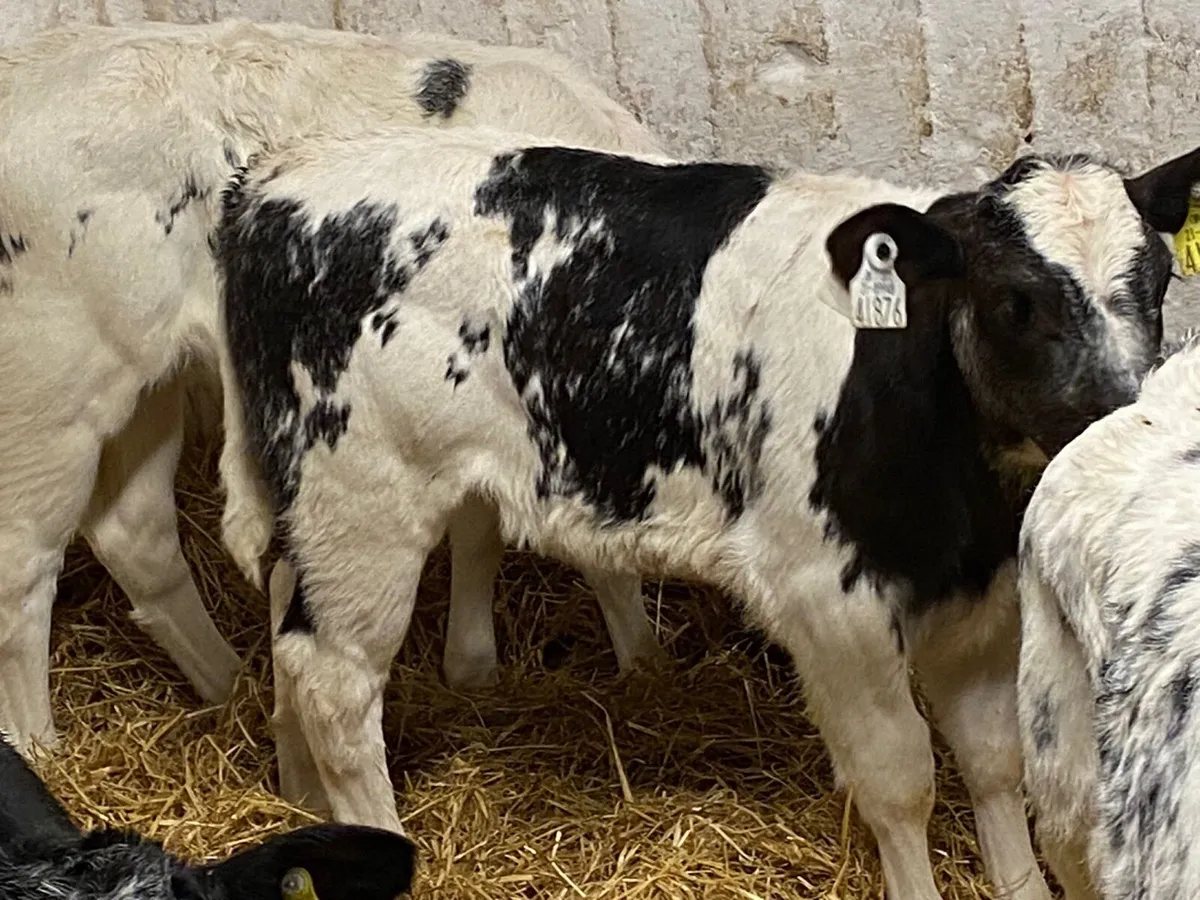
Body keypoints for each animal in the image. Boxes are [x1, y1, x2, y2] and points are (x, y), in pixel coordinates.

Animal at [0, 17, 667, 757]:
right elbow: (597, 558)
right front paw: (644, 664)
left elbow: (480, 533)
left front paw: (477, 670)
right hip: (49, 379)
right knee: (20, 566)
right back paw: (41, 748)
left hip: (149, 377)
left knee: (133, 530)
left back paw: (232, 689)